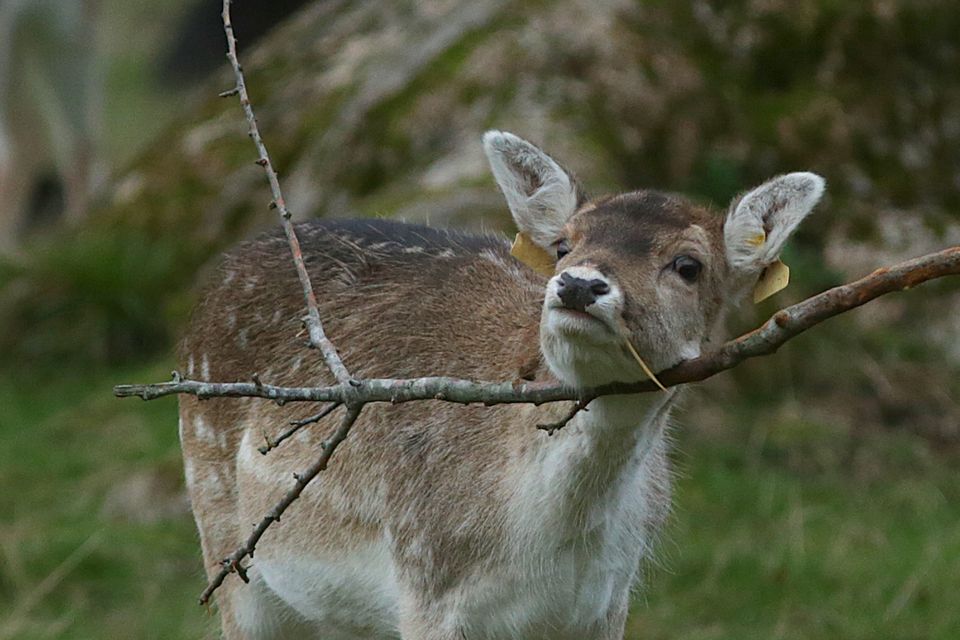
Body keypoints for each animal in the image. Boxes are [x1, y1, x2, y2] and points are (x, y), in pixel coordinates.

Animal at [180, 131, 824, 640]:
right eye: (564, 243)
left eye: (689, 265)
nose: (579, 284)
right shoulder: (427, 581)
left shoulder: (607, 602)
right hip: (227, 546)